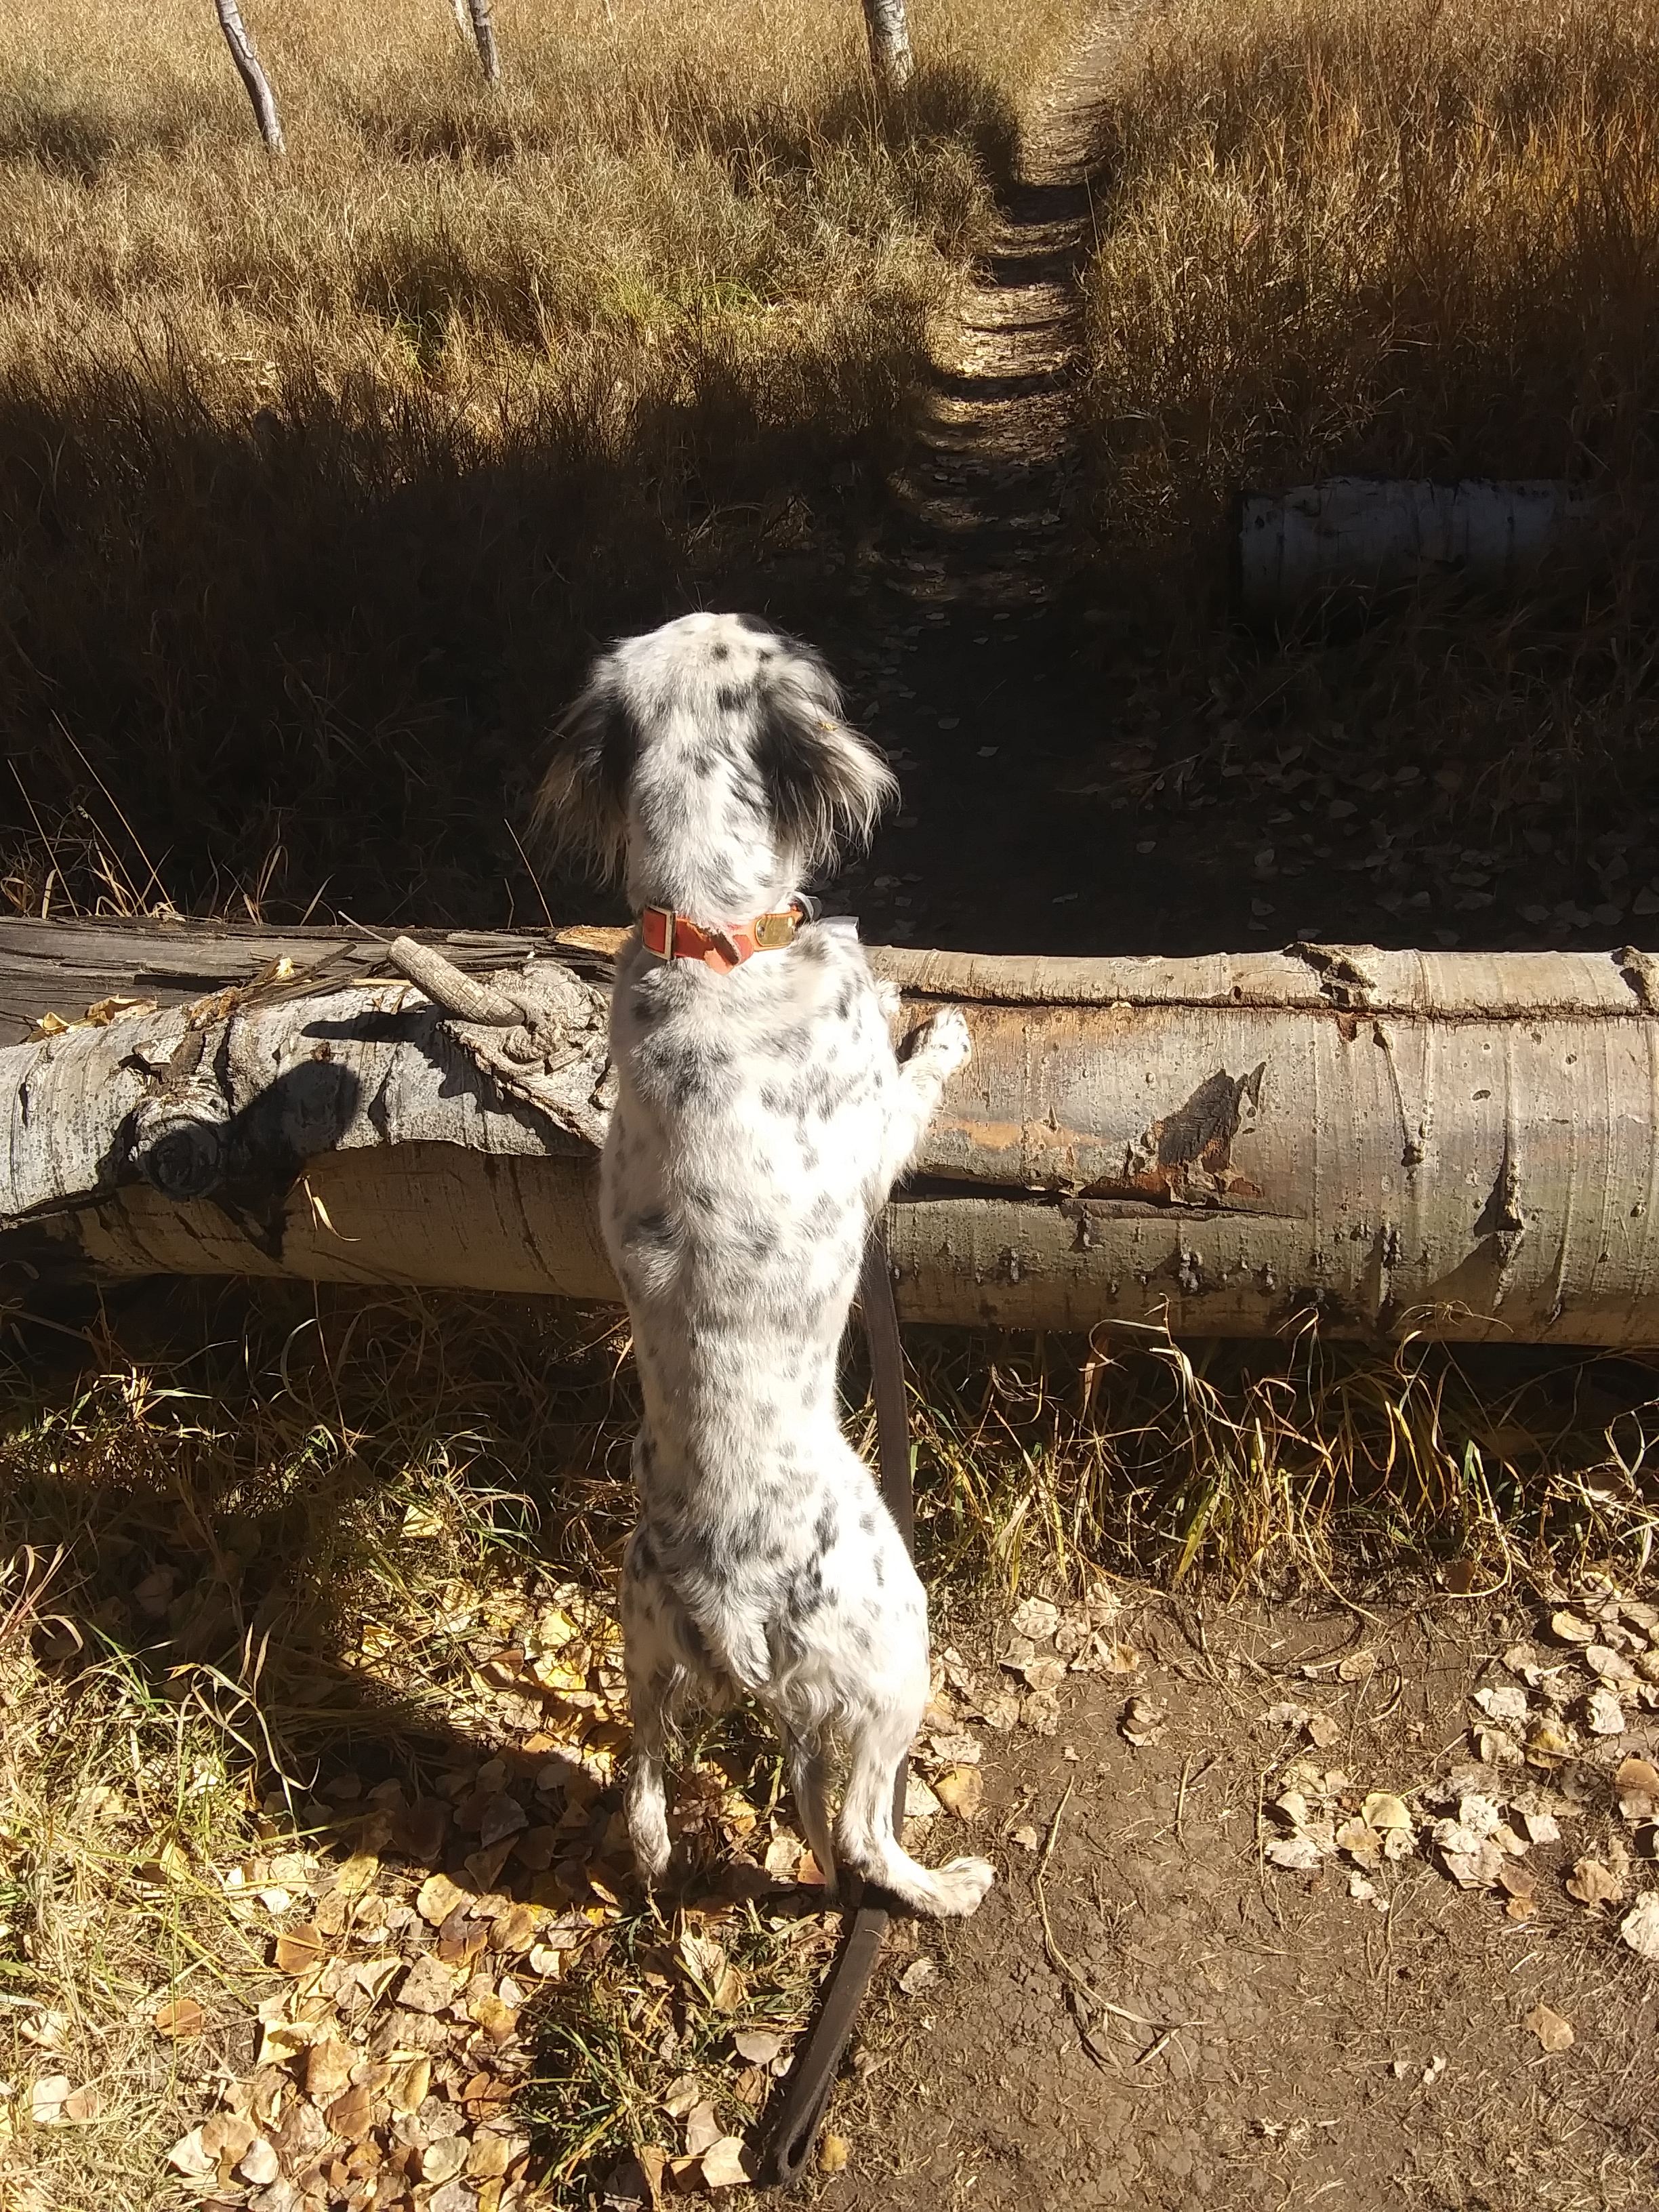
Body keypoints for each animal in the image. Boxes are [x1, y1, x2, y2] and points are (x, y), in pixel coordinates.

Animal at [536, 610, 993, 1918]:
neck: (709, 937)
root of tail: (727, 1606)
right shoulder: (874, 1131)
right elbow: (910, 1079)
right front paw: (931, 1023)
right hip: (898, 1642)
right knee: (862, 1829)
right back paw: (945, 1884)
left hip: (637, 1637)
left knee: (642, 1789)